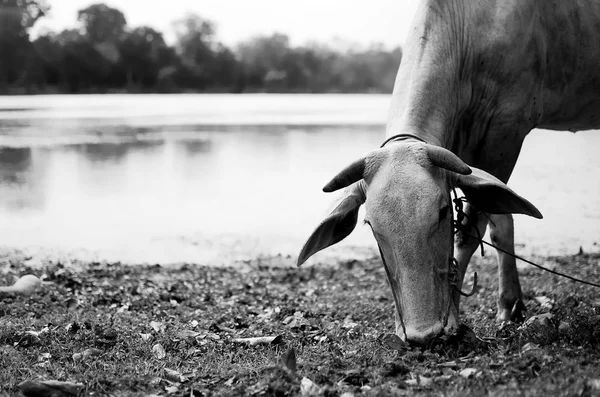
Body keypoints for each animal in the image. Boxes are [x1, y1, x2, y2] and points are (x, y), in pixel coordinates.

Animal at [296, 0, 600, 344]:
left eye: (442, 211)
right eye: (371, 226)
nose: (421, 333)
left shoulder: (507, 129)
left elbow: (470, 231)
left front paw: (455, 318)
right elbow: (500, 220)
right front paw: (510, 306)